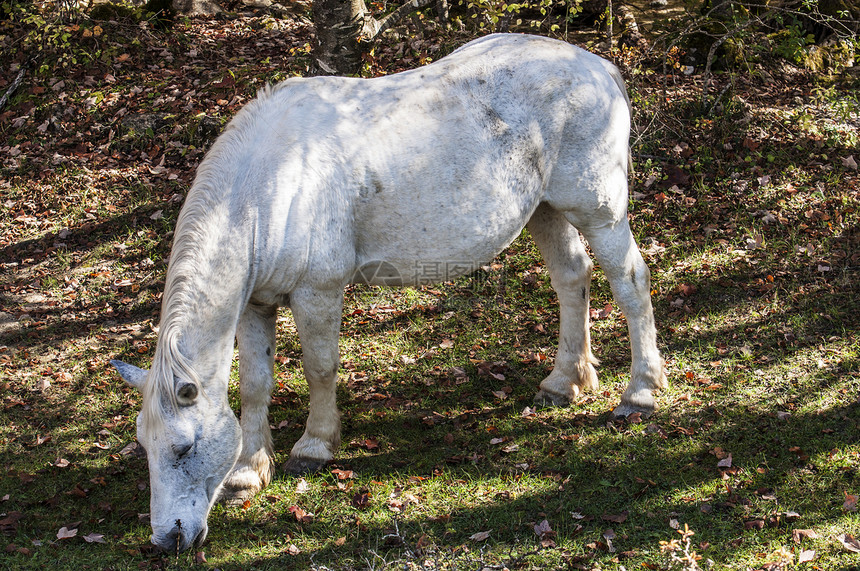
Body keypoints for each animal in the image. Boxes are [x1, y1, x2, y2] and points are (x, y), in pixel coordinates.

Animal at [112, 34, 664, 556]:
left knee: (630, 283)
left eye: (183, 448)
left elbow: (319, 369)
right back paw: (564, 381)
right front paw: (248, 471)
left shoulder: (317, 292)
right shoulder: (255, 305)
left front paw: (314, 445)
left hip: (600, 212)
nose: (168, 539)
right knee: (572, 279)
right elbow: (253, 386)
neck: (271, 188)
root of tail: (595, 65)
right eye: (145, 445)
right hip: (546, 210)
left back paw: (640, 392)